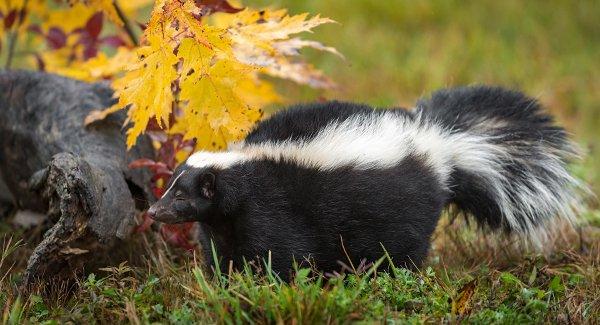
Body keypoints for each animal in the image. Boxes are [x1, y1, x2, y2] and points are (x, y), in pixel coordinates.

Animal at [148, 85, 584, 276]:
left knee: (403, 248)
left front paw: (269, 282)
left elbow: (281, 252)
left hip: (402, 209)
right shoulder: (225, 221)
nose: (153, 211)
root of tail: (440, 142)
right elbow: (222, 250)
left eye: (182, 195)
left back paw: (390, 275)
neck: (242, 167)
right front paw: (225, 281)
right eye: (170, 187)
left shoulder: (274, 207)